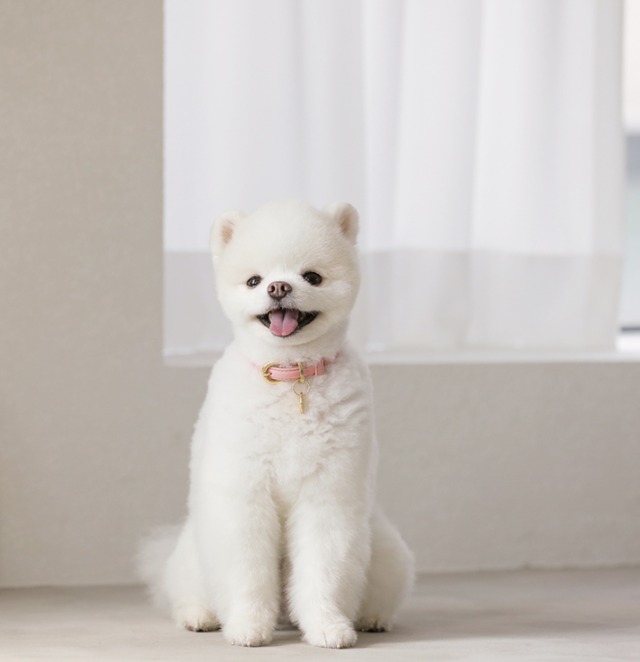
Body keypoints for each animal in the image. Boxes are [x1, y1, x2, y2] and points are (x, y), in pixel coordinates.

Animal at [139, 199, 414, 648]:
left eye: (312, 276)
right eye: (254, 280)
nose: (279, 287)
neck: (290, 376)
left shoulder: (328, 495)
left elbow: (325, 570)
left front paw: (327, 625)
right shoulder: (245, 495)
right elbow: (247, 571)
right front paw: (248, 625)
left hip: (386, 549)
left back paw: (372, 617)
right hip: (194, 551)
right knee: (186, 590)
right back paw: (200, 616)